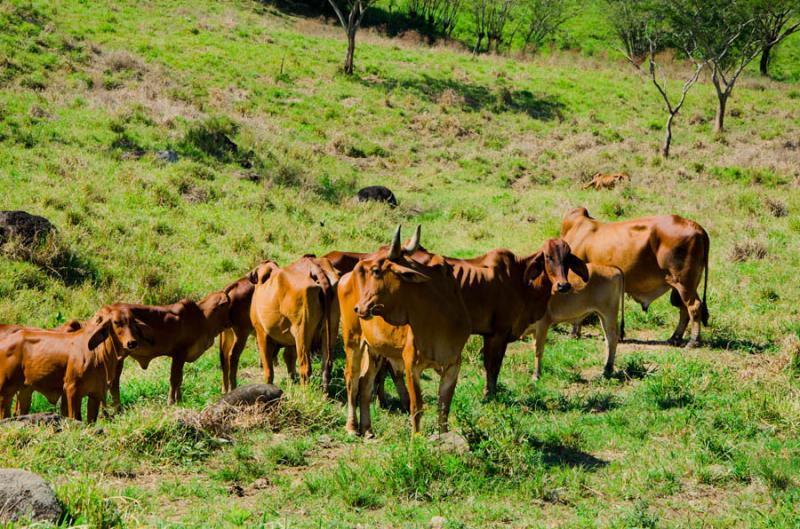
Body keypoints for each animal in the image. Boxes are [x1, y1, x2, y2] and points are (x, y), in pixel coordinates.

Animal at [98, 290, 233, 406]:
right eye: (228, 305)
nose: (232, 321)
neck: (202, 318)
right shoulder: (179, 353)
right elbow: (174, 379)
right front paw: (171, 402)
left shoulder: (181, 357)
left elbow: (180, 378)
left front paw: (179, 399)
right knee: (113, 383)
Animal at [248, 256, 340, 392]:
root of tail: (312, 266)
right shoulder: (290, 341)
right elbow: (289, 359)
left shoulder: (261, 332)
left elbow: (268, 368)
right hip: (330, 329)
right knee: (326, 366)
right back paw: (325, 394)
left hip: (302, 331)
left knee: (305, 367)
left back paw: (304, 393)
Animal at [340, 225, 472, 436]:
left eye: (376, 270)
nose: (359, 308)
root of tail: (345, 277)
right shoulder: (411, 364)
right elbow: (416, 406)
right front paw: (416, 438)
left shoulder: (453, 366)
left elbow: (444, 408)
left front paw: (443, 436)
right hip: (353, 340)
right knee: (351, 379)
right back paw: (352, 427)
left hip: (375, 350)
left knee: (365, 384)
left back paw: (367, 429)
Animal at [560, 206, 708, 346]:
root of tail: (697, 227)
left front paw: (574, 334)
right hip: (685, 284)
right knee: (684, 309)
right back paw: (675, 338)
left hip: (684, 282)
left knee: (694, 307)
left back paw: (693, 341)